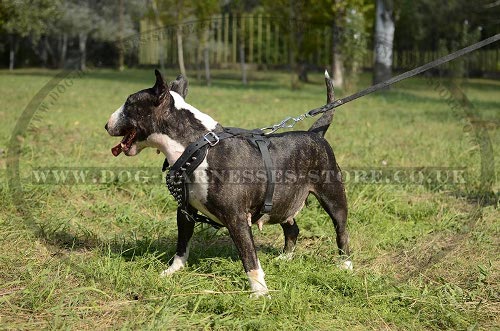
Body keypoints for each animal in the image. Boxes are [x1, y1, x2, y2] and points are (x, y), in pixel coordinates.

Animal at [103, 70, 350, 298]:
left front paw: (260, 292)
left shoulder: (236, 218)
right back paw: (285, 258)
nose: (106, 125)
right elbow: (182, 245)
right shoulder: (185, 211)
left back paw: (345, 266)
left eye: (129, 103)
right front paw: (172, 271)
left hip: (333, 197)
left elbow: (249, 257)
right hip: (283, 201)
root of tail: (315, 135)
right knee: (292, 228)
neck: (198, 148)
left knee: (341, 230)